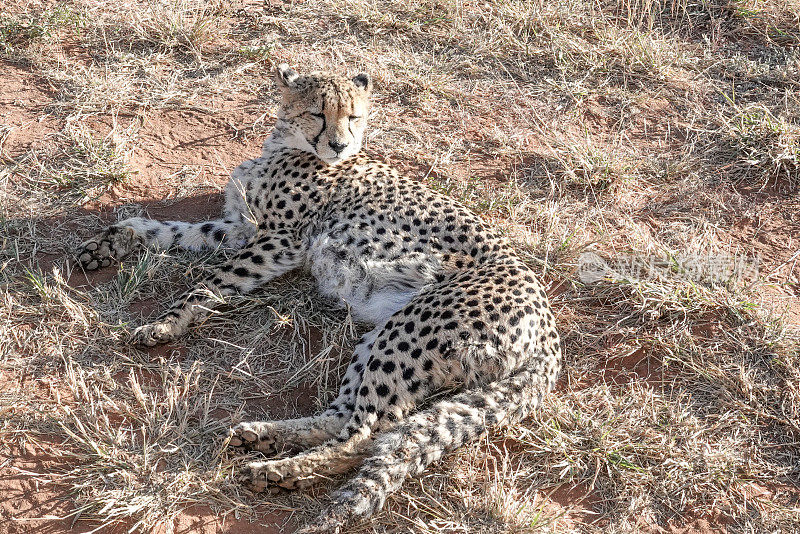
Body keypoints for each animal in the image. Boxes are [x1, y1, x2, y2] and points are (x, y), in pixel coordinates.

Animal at [76, 65, 564, 532]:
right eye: (318, 113)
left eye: (355, 117)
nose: (340, 145)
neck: (285, 147)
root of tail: (548, 327)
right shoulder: (241, 227)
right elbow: (161, 230)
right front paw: (106, 245)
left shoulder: (281, 241)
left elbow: (211, 281)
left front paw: (165, 323)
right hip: (384, 338)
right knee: (344, 416)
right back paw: (265, 438)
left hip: (407, 335)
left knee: (367, 435)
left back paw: (279, 472)